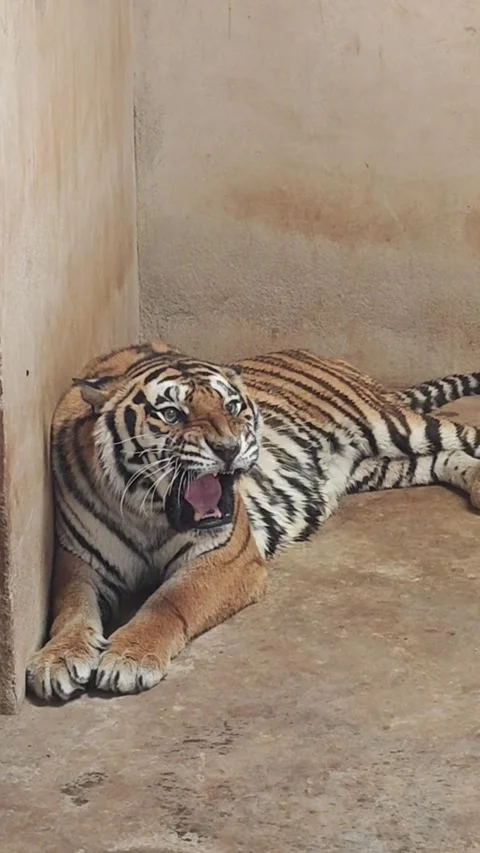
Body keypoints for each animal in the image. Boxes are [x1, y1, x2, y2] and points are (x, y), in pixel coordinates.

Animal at [26, 342, 480, 702]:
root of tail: (323, 354)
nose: (229, 448)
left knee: (465, 434)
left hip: (394, 426)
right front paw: (58, 659)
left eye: (232, 406)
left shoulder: (228, 559)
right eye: (171, 414)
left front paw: (128, 656)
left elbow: (168, 601)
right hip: (375, 467)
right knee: (442, 459)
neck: (146, 510)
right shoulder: (80, 561)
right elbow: (71, 608)